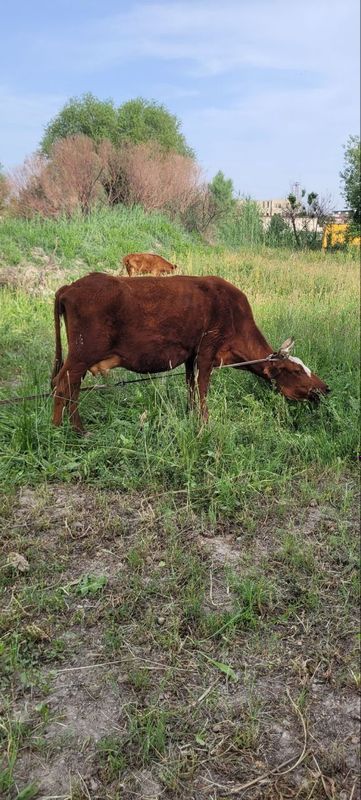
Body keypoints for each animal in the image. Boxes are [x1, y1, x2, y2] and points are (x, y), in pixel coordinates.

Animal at [51, 276, 330, 438]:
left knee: (69, 387)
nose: (326, 388)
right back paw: (63, 430)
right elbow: (203, 387)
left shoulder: (190, 354)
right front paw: (205, 424)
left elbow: (190, 387)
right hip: (81, 354)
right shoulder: (207, 350)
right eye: (296, 371)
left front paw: (191, 414)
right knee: (62, 385)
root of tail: (70, 286)